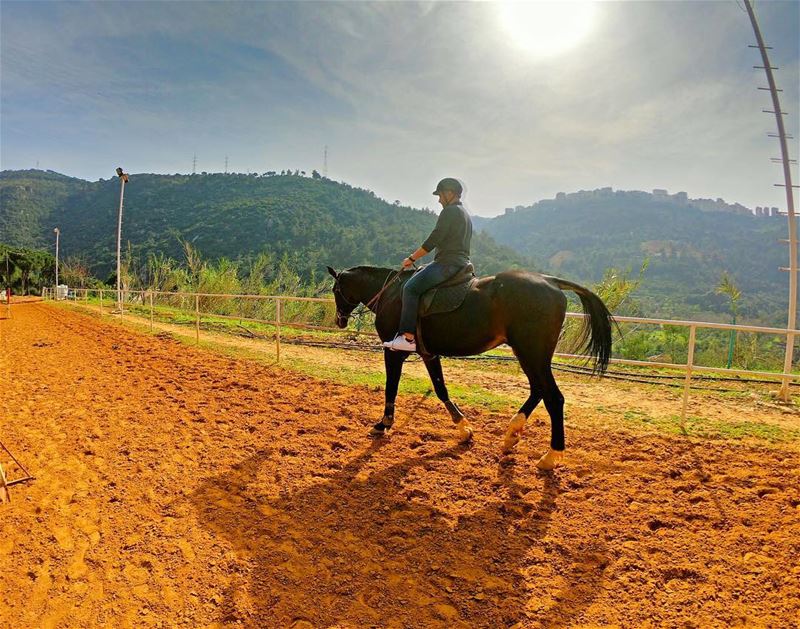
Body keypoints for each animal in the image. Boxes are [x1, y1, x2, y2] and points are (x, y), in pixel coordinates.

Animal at [324, 262, 612, 468]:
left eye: (335, 290)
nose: (339, 320)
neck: (393, 294)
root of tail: (550, 281)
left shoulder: (393, 352)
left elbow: (391, 387)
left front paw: (383, 424)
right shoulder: (429, 354)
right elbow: (440, 388)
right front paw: (463, 428)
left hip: (532, 352)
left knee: (553, 397)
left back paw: (551, 456)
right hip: (530, 354)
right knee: (538, 390)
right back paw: (512, 433)